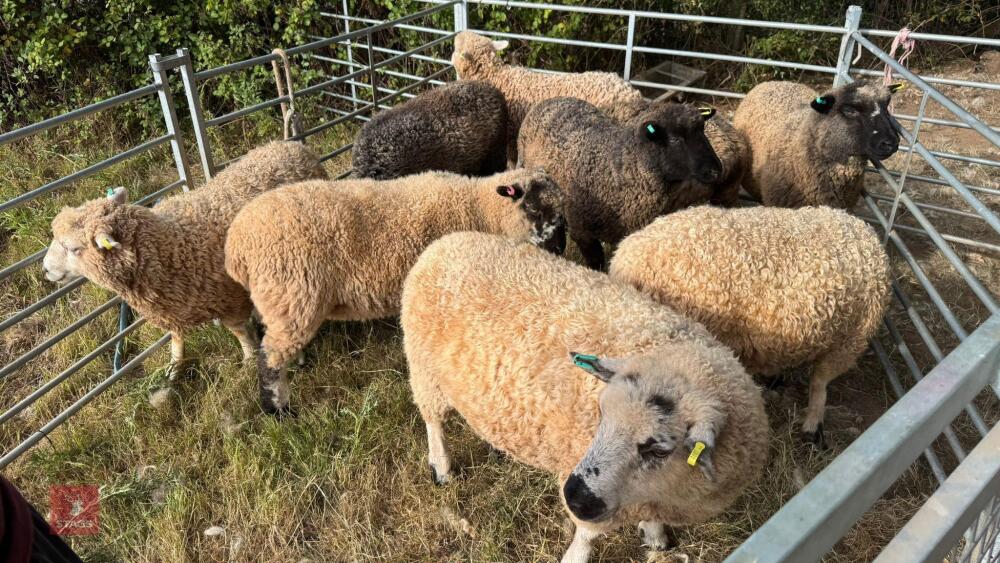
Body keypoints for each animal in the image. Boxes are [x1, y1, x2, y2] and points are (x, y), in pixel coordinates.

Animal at [42, 141, 328, 372]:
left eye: (74, 248)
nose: (45, 270)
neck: (169, 245)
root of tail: (292, 146)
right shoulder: (172, 308)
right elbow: (176, 340)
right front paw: (172, 370)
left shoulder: (229, 299)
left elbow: (240, 333)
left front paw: (248, 360)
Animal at [224, 168, 566, 414]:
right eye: (533, 208)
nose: (560, 249)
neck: (480, 208)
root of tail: (236, 247)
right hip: (293, 293)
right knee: (268, 358)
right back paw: (278, 410)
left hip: (279, 301)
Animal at [402, 232, 769, 563]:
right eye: (602, 412)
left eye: (660, 449)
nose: (574, 495)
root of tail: (443, 243)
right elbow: (587, 536)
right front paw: (577, 555)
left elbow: (649, 520)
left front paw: (655, 538)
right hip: (424, 370)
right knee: (433, 421)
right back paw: (441, 466)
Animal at [518, 96, 723, 269]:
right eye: (676, 139)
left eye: (703, 131)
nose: (716, 170)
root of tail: (553, 99)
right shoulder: (582, 233)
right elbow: (596, 263)